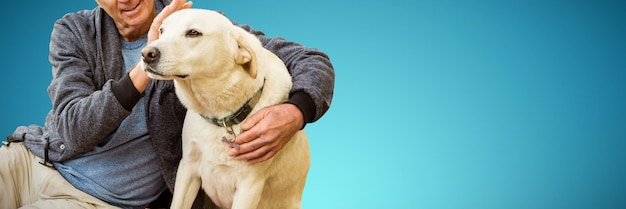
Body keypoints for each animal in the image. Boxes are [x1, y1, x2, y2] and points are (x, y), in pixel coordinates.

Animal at [140, 8, 310, 209]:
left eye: (193, 33)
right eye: (162, 30)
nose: (146, 54)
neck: (221, 117)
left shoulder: (248, 187)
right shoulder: (187, 169)